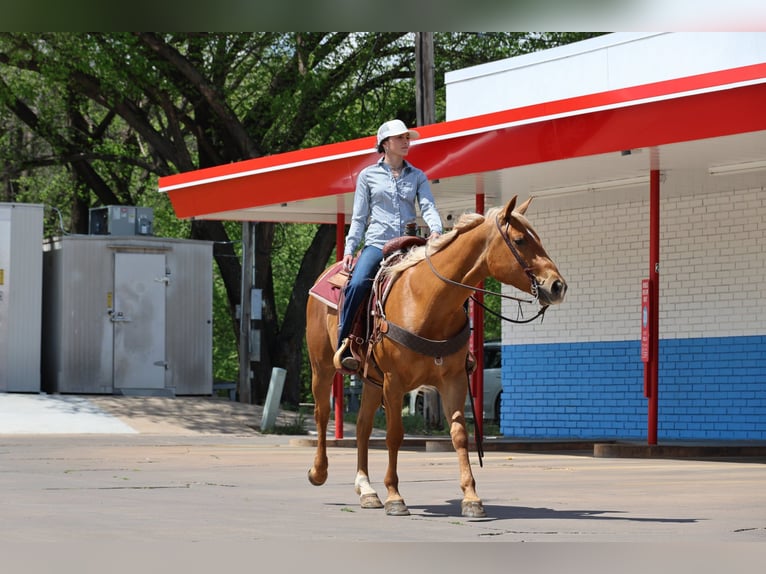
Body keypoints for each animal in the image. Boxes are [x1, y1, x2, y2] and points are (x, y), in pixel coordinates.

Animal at [305, 195, 567, 517]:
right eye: (519, 240)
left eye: (538, 239)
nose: (557, 286)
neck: (428, 300)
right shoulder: (394, 381)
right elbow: (394, 434)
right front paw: (395, 496)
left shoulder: (452, 379)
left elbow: (459, 435)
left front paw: (471, 498)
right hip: (322, 367)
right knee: (321, 414)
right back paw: (319, 472)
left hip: (371, 379)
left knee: (364, 427)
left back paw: (366, 490)